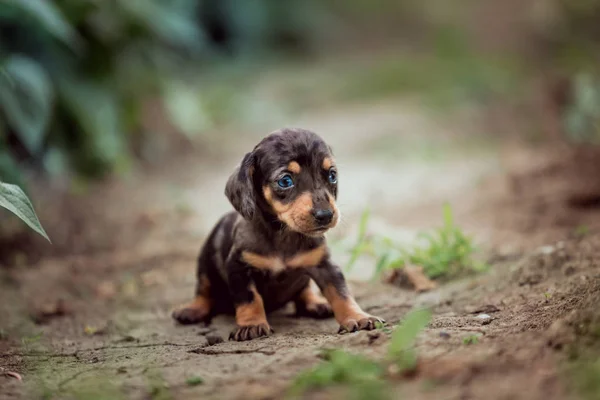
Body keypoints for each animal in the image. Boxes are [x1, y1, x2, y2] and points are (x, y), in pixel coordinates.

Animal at [171, 128, 384, 340]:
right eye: (285, 181)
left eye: (332, 175)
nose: (325, 215)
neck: (284, 235)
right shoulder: (239, 268)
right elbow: (249, 299)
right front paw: (251, 324)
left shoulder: (325, 266)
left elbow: (342, 293)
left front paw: (358, 317)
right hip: (206, 264)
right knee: (204, 291)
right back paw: (192, 310)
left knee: (304, 291)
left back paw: (316, 303)